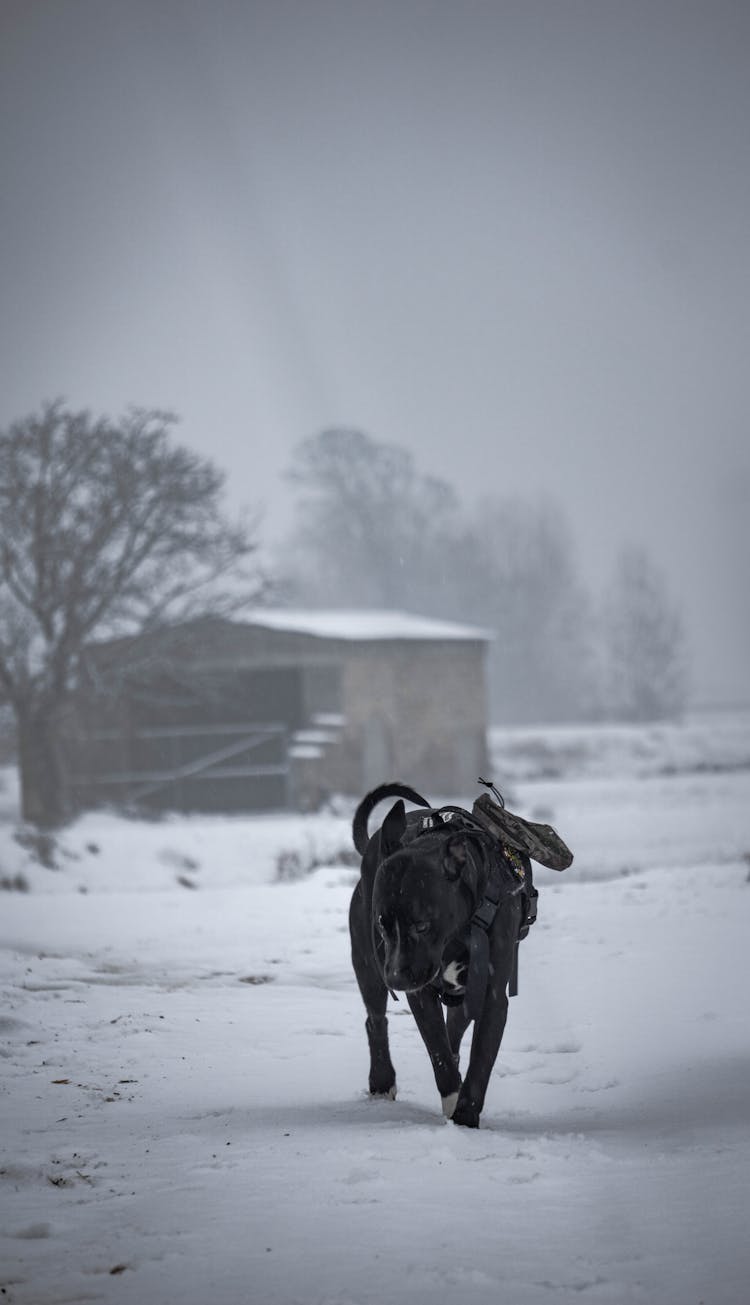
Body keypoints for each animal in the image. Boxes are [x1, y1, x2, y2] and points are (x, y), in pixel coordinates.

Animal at [349, 777, 534, 1127]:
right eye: (382, 923)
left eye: (422, 925)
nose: (395, 977)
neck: (457, 933)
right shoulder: (420, 991)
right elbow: (438, 1050)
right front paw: (452, 1099)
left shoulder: (489, 994)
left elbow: (479, 1059)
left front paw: (465, 1115)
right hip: (367, 963)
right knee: (375, 1019)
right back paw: (381, 1080)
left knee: (455, 1030)